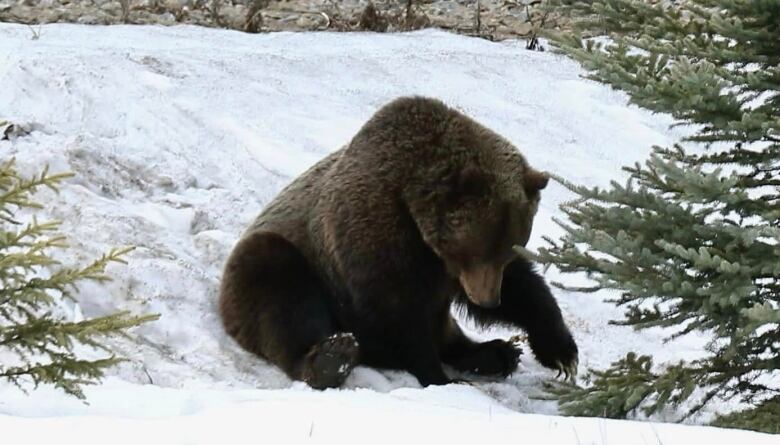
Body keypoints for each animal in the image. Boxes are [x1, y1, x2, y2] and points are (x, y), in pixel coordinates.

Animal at [219, 95, 580, 386]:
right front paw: (440, 378)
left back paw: (498, 353)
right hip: (283, 264)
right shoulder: (375, 239)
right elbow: (398, 314)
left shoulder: (447, 268)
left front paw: (561, 351)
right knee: (279, 294)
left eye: (507, 249)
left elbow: (525, 288)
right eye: (478, 250)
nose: (488, 299)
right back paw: (330, 359)